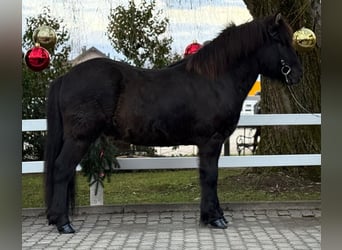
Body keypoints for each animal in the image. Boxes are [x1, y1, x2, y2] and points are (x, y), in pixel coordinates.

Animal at [43, 13, 302, 232]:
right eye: (282, 42)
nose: (297, 74)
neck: (216, 80)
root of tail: (65, 77)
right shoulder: (211, 141)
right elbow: (210, 176)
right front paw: (216, 218)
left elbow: (205, 176)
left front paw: (209, 216)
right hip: (80, 138)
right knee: (62, 169)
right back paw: (64, 224)